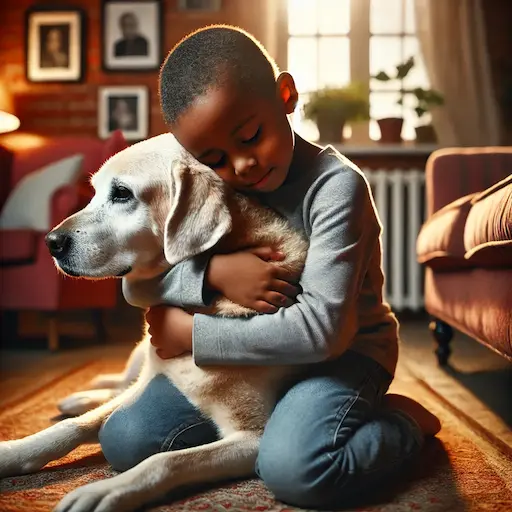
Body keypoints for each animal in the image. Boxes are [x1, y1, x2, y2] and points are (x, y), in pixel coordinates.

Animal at [0, 133, 306, 512]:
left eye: (121, 193)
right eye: (94, 192)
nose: (50, 242)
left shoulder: (254, 436)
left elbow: (166, 460)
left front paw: (104, 491)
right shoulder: (148, 380)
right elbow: (71, 427)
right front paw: (11, 452)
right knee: (118, 384)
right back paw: (79, 397)